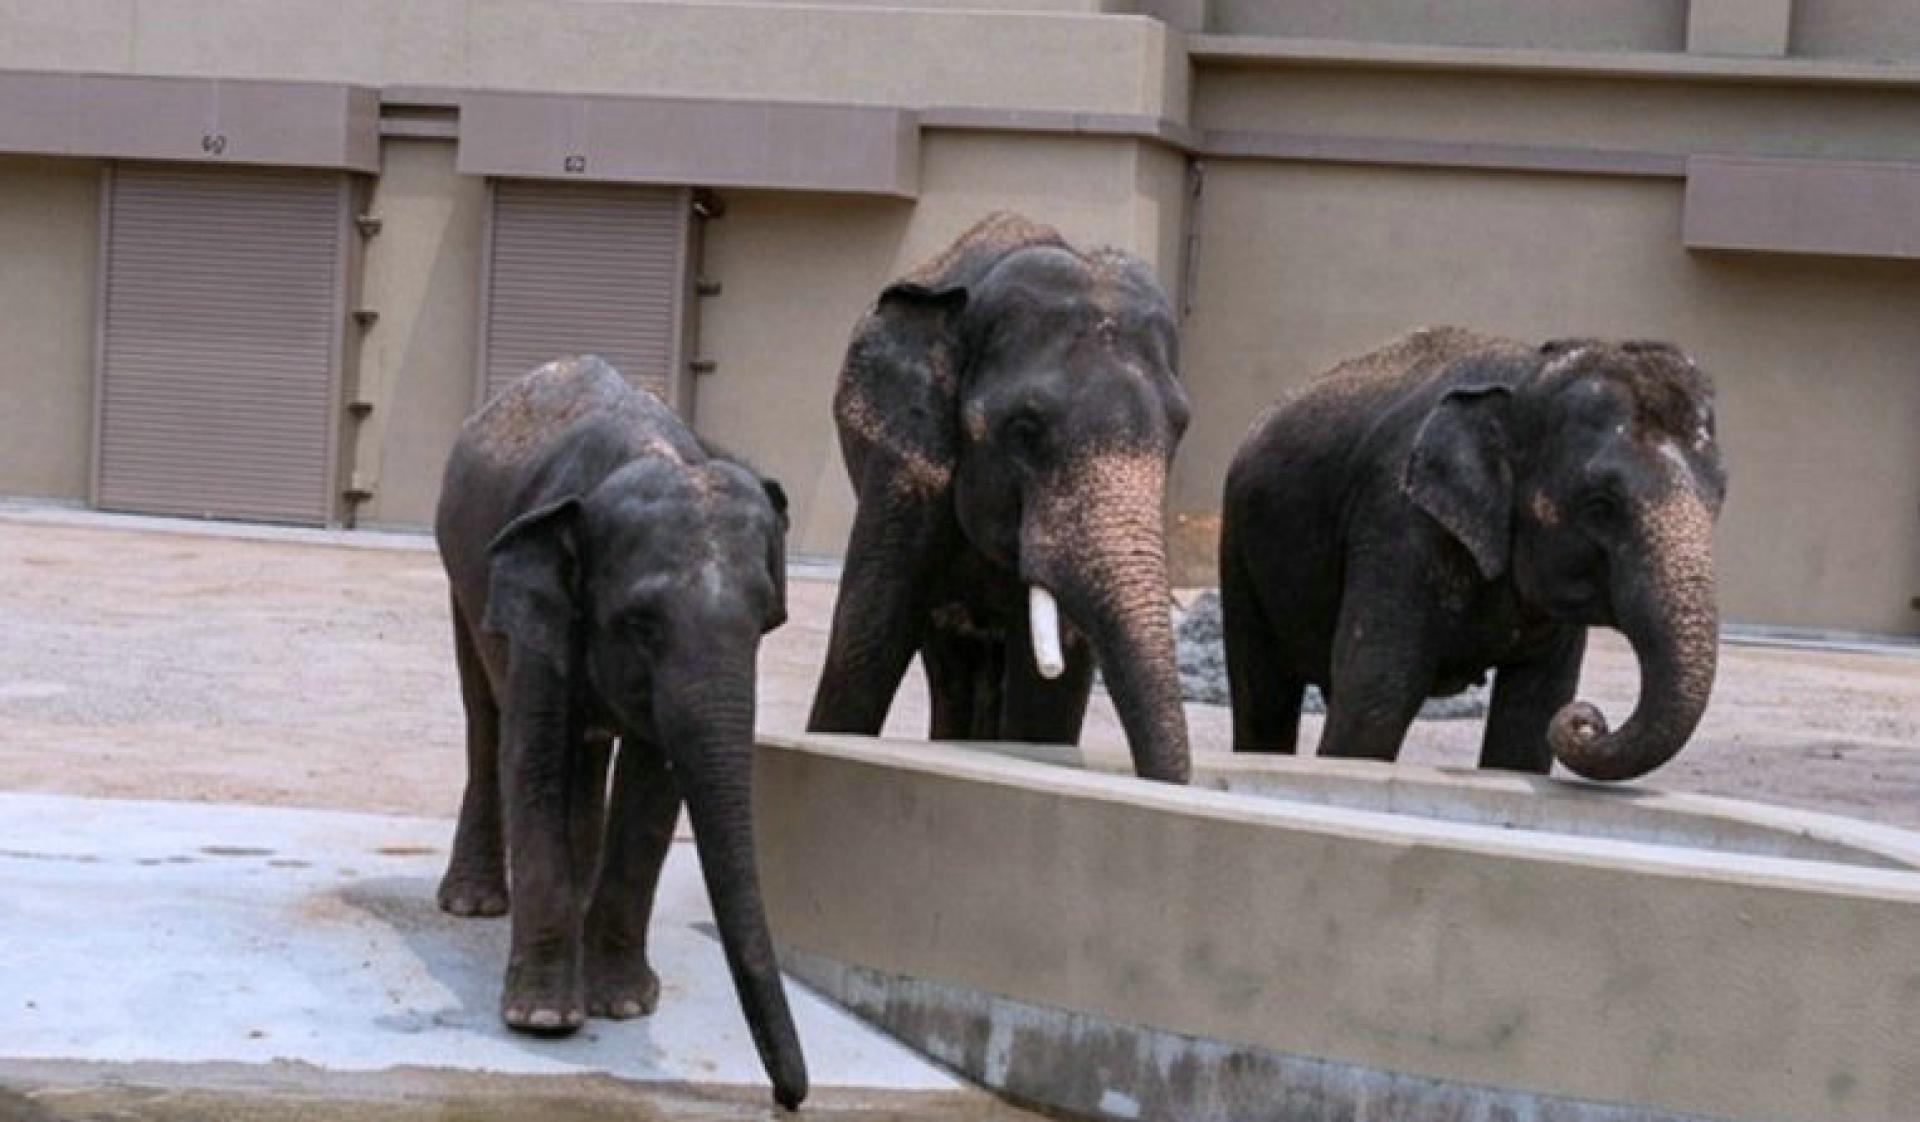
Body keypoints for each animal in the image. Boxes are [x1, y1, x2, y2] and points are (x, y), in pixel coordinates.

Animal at [433, 356, 806, 1110]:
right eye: (641, 622)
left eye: (767, 621)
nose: (789, 1099)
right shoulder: (538, 605)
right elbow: (533, 758)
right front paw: (543, 1020)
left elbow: (654, 784)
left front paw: (626, 1007)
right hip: (462, 578)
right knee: (485, 722)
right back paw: (472, 905)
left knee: (587, 749)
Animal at [1220, 326, 1727, 781]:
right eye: (1600, 505)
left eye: (1719, 497)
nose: (1588, 720)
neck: (1529, 375)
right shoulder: (1397, 524)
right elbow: (1376, 696)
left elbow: (1533, 714)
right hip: (1240, 548)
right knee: (1264, 696)